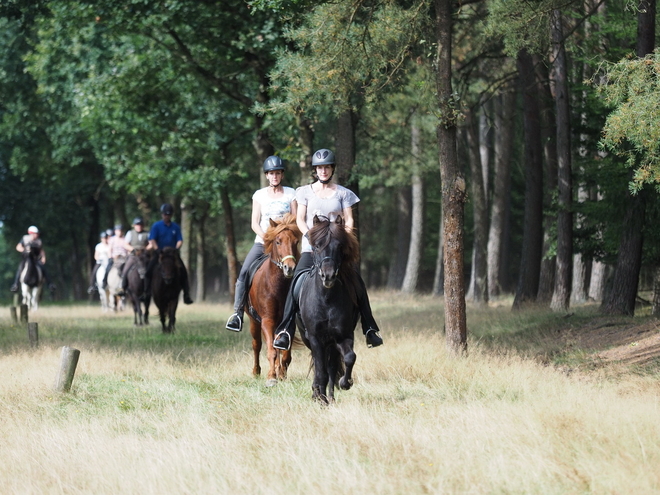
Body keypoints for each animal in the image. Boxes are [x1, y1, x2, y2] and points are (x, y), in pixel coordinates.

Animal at [246, 213, 300, 388]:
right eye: (278, 241)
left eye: (296, 242)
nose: (289, 268)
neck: (278, 287)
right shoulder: (267, 320)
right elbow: (271, 350)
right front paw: (271, 377)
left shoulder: (289, 322)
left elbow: (285, 353)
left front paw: (281, 374)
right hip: (253, 321)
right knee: (257, 345)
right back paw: (256, 372)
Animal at [298, 215, 360, 404]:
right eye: (317, 245)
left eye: (339, 246)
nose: (329, 276)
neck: (326, 299)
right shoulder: (315, 338)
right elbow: (321, 371)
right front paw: (320, 398)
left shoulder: (343, 335)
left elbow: (349, 358)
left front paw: (345, 383)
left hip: (331, 343)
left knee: (331, 366)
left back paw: (330, 396)